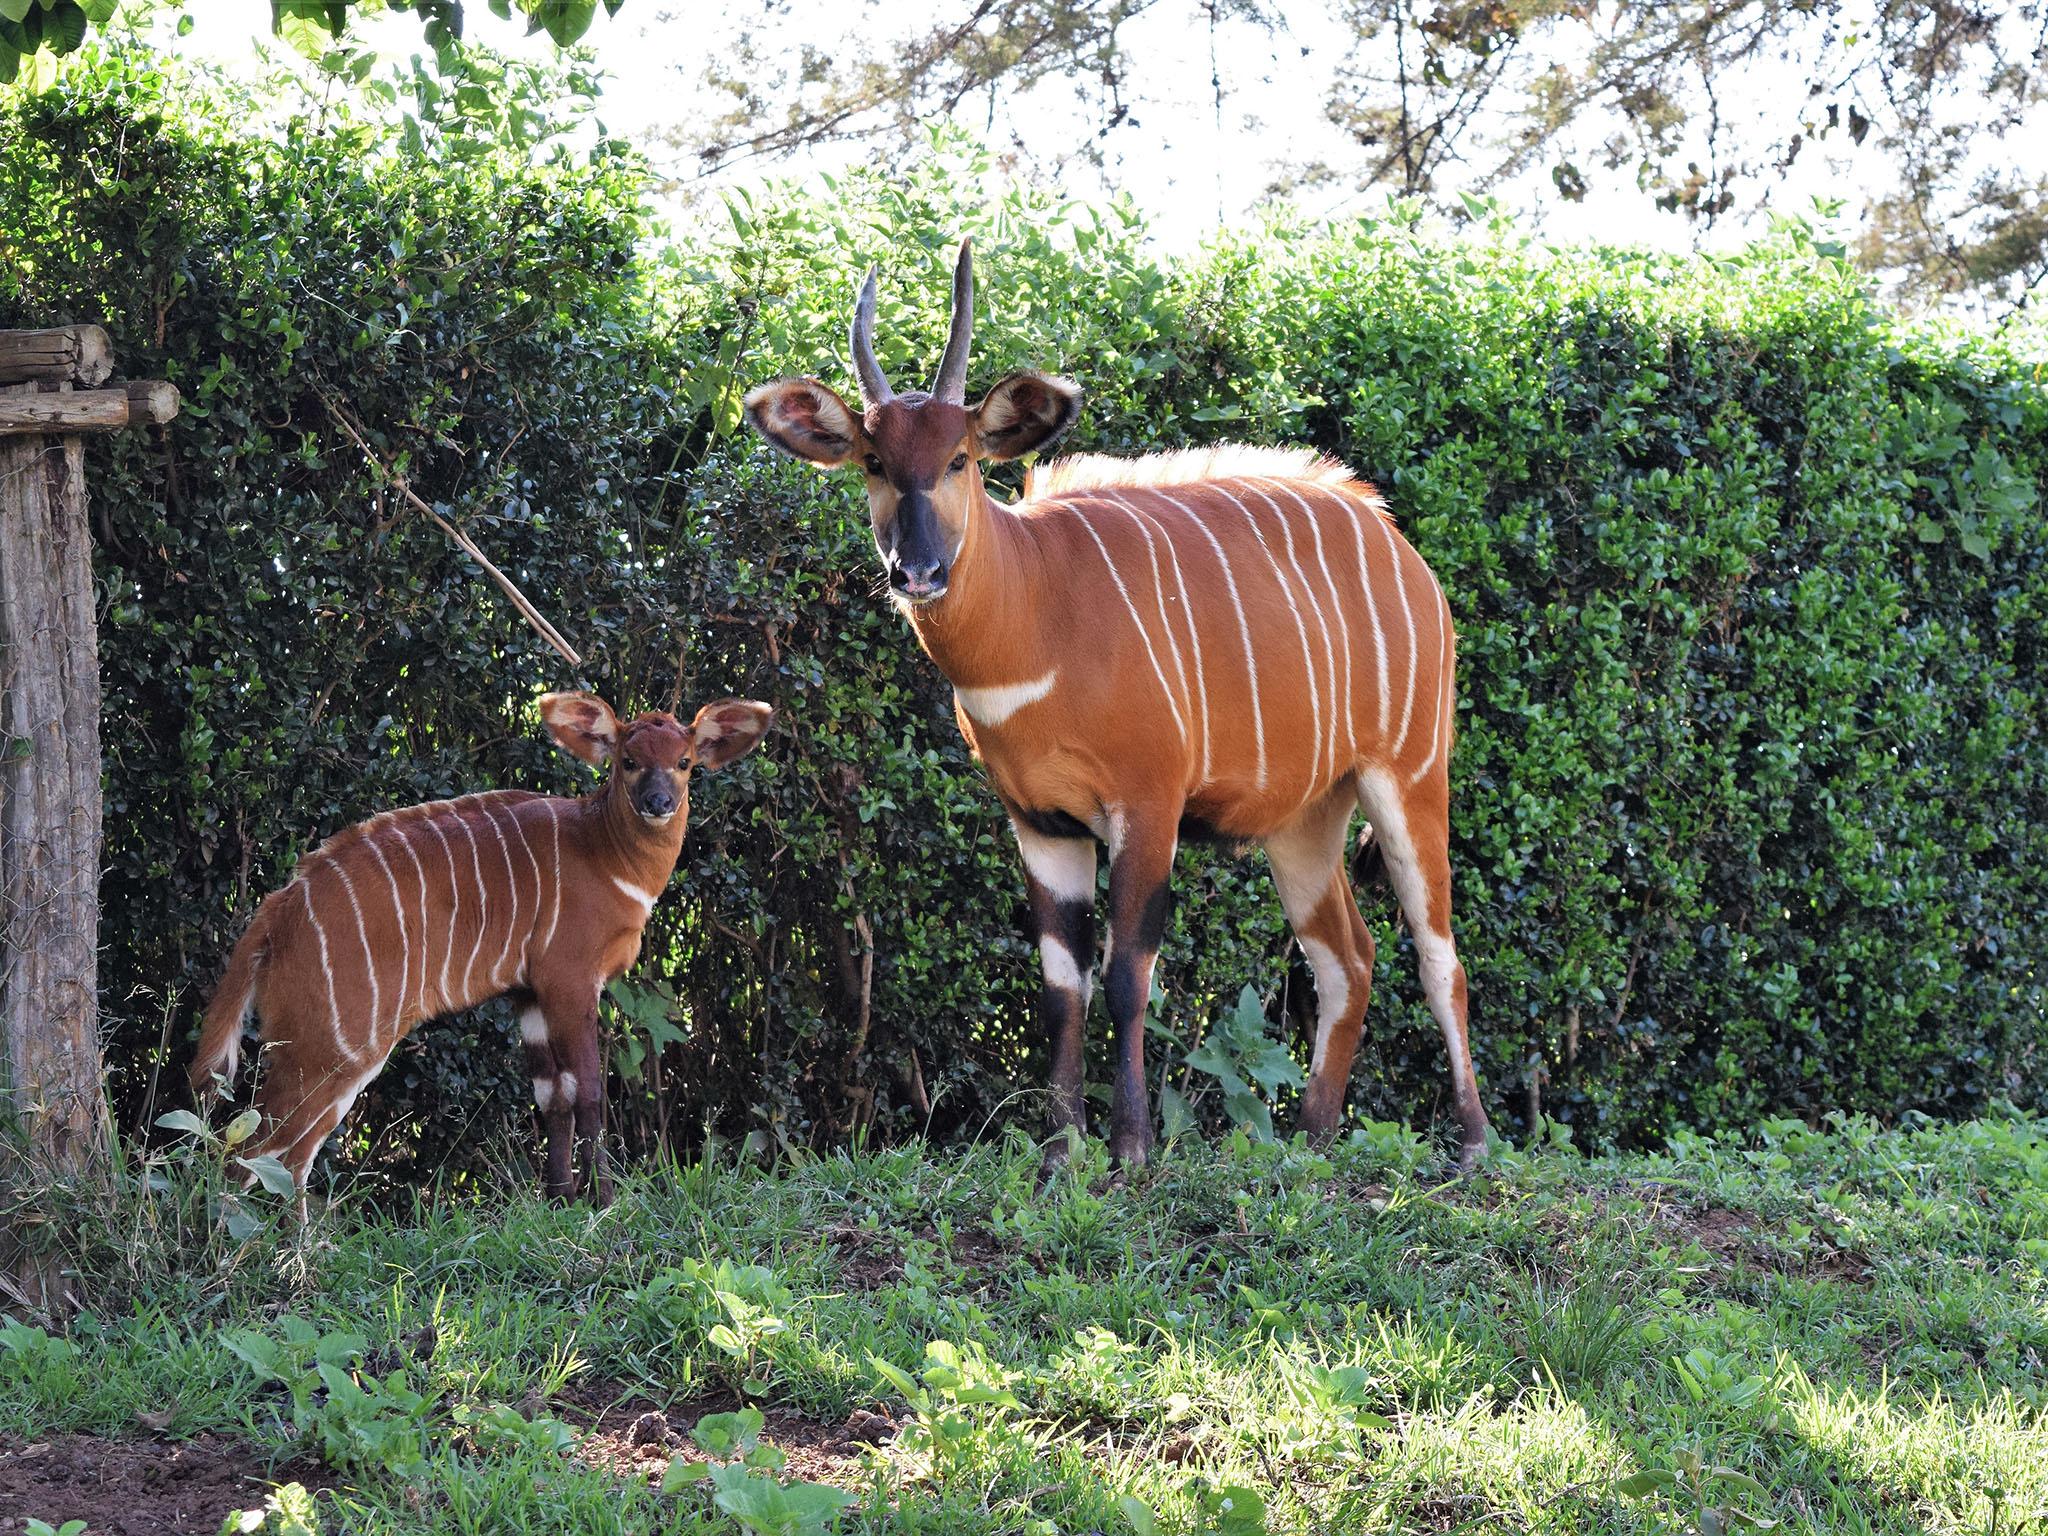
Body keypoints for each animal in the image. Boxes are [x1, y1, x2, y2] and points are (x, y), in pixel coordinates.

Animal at [192, 692, 770, 1212]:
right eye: (628, 761)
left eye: (684, 762)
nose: (658, 803)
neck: (605, 854)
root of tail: (276, 912)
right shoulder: (570, 980)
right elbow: (588, 1092)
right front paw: (604, 1207)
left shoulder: (529, 993)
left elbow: (551, 1095)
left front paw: (560, 1204)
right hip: (332, 1047)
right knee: (249, 1149)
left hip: (330, 1056)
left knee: (288, 1156)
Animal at [745, 246, 1499, 1171]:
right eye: (874, 463)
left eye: (959, 457)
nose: (914, 571)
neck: (1036, 611)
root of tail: (1399, 543)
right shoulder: (1041, 822)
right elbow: (1060, 984)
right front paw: (1061, 1150)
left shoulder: (1148, 804)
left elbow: (1127, 972)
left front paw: (1131, 1149)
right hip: (1305, 819)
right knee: (1346, 959)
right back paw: (1310, 1145)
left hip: (1410, 774)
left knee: (1437, 954)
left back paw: (1474, 1145)